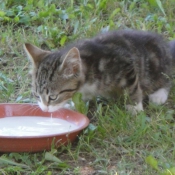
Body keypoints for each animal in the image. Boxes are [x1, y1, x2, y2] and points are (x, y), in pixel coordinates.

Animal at [23, 29, 173, 115]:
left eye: (53, 97)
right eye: (36, 95)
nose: (44, 109)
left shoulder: (125, 62)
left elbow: (132, 88)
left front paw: (135, 107)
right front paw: (71, 105)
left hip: (156, 66)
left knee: (168, 77)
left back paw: (159, 95)